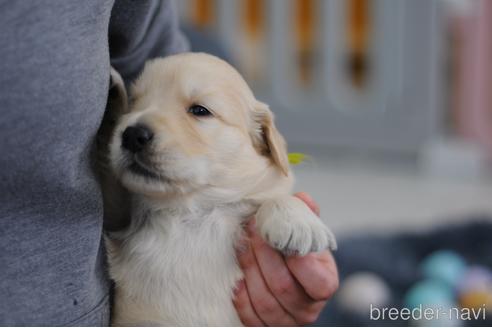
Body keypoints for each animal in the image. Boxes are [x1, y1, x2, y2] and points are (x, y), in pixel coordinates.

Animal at [103, 53, 334, 326]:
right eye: (135, 102)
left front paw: (298, 223)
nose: (132, 135)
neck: (188, 209)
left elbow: (277, 197)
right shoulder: (117, 214)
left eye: (199, 110)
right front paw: (113, 97)